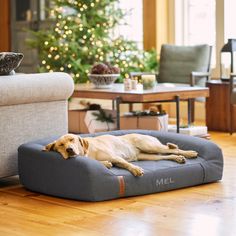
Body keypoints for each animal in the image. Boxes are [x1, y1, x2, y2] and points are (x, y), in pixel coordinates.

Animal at [43, 134, 197, 176]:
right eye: (60, 145)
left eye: (72, 139)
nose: (69, 150)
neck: (87, 153)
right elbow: (104, 163)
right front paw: (105, 164)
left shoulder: (115, 157)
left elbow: (125, 163)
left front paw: (135, 170)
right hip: (148, 155)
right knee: (167, 155)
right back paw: (178, 158)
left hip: (150, 146)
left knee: (174, 149)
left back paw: (189, 153)